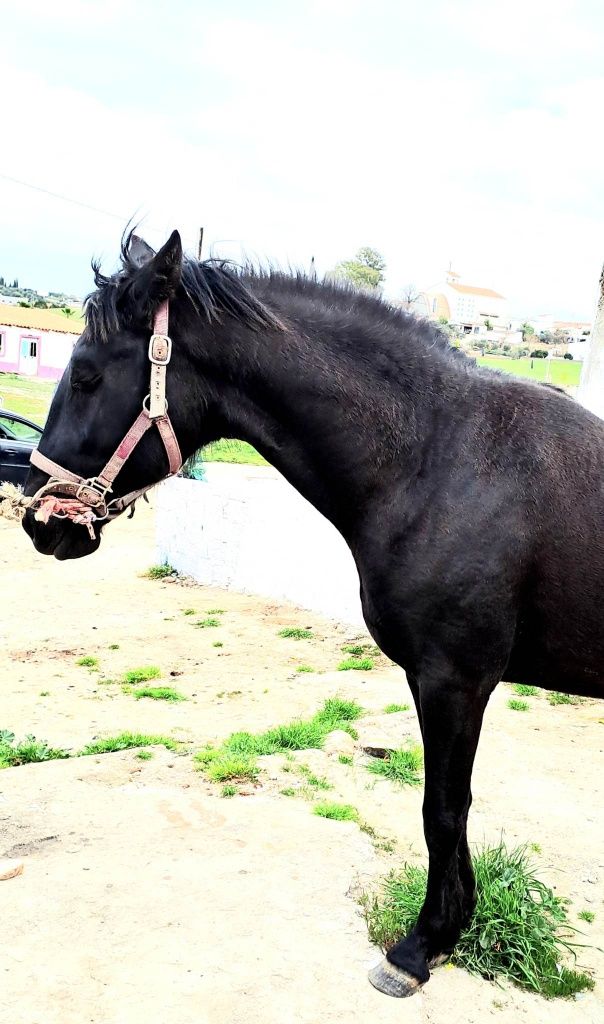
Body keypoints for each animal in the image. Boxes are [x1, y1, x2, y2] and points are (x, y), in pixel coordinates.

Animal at [21, 234, 601, 999]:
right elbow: (452, 809)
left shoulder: (456, 679)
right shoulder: (443, 681)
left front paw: (418, 948)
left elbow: (443, 810)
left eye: (86, 375)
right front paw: (451, 928)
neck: (442, 458)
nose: (39, 519)